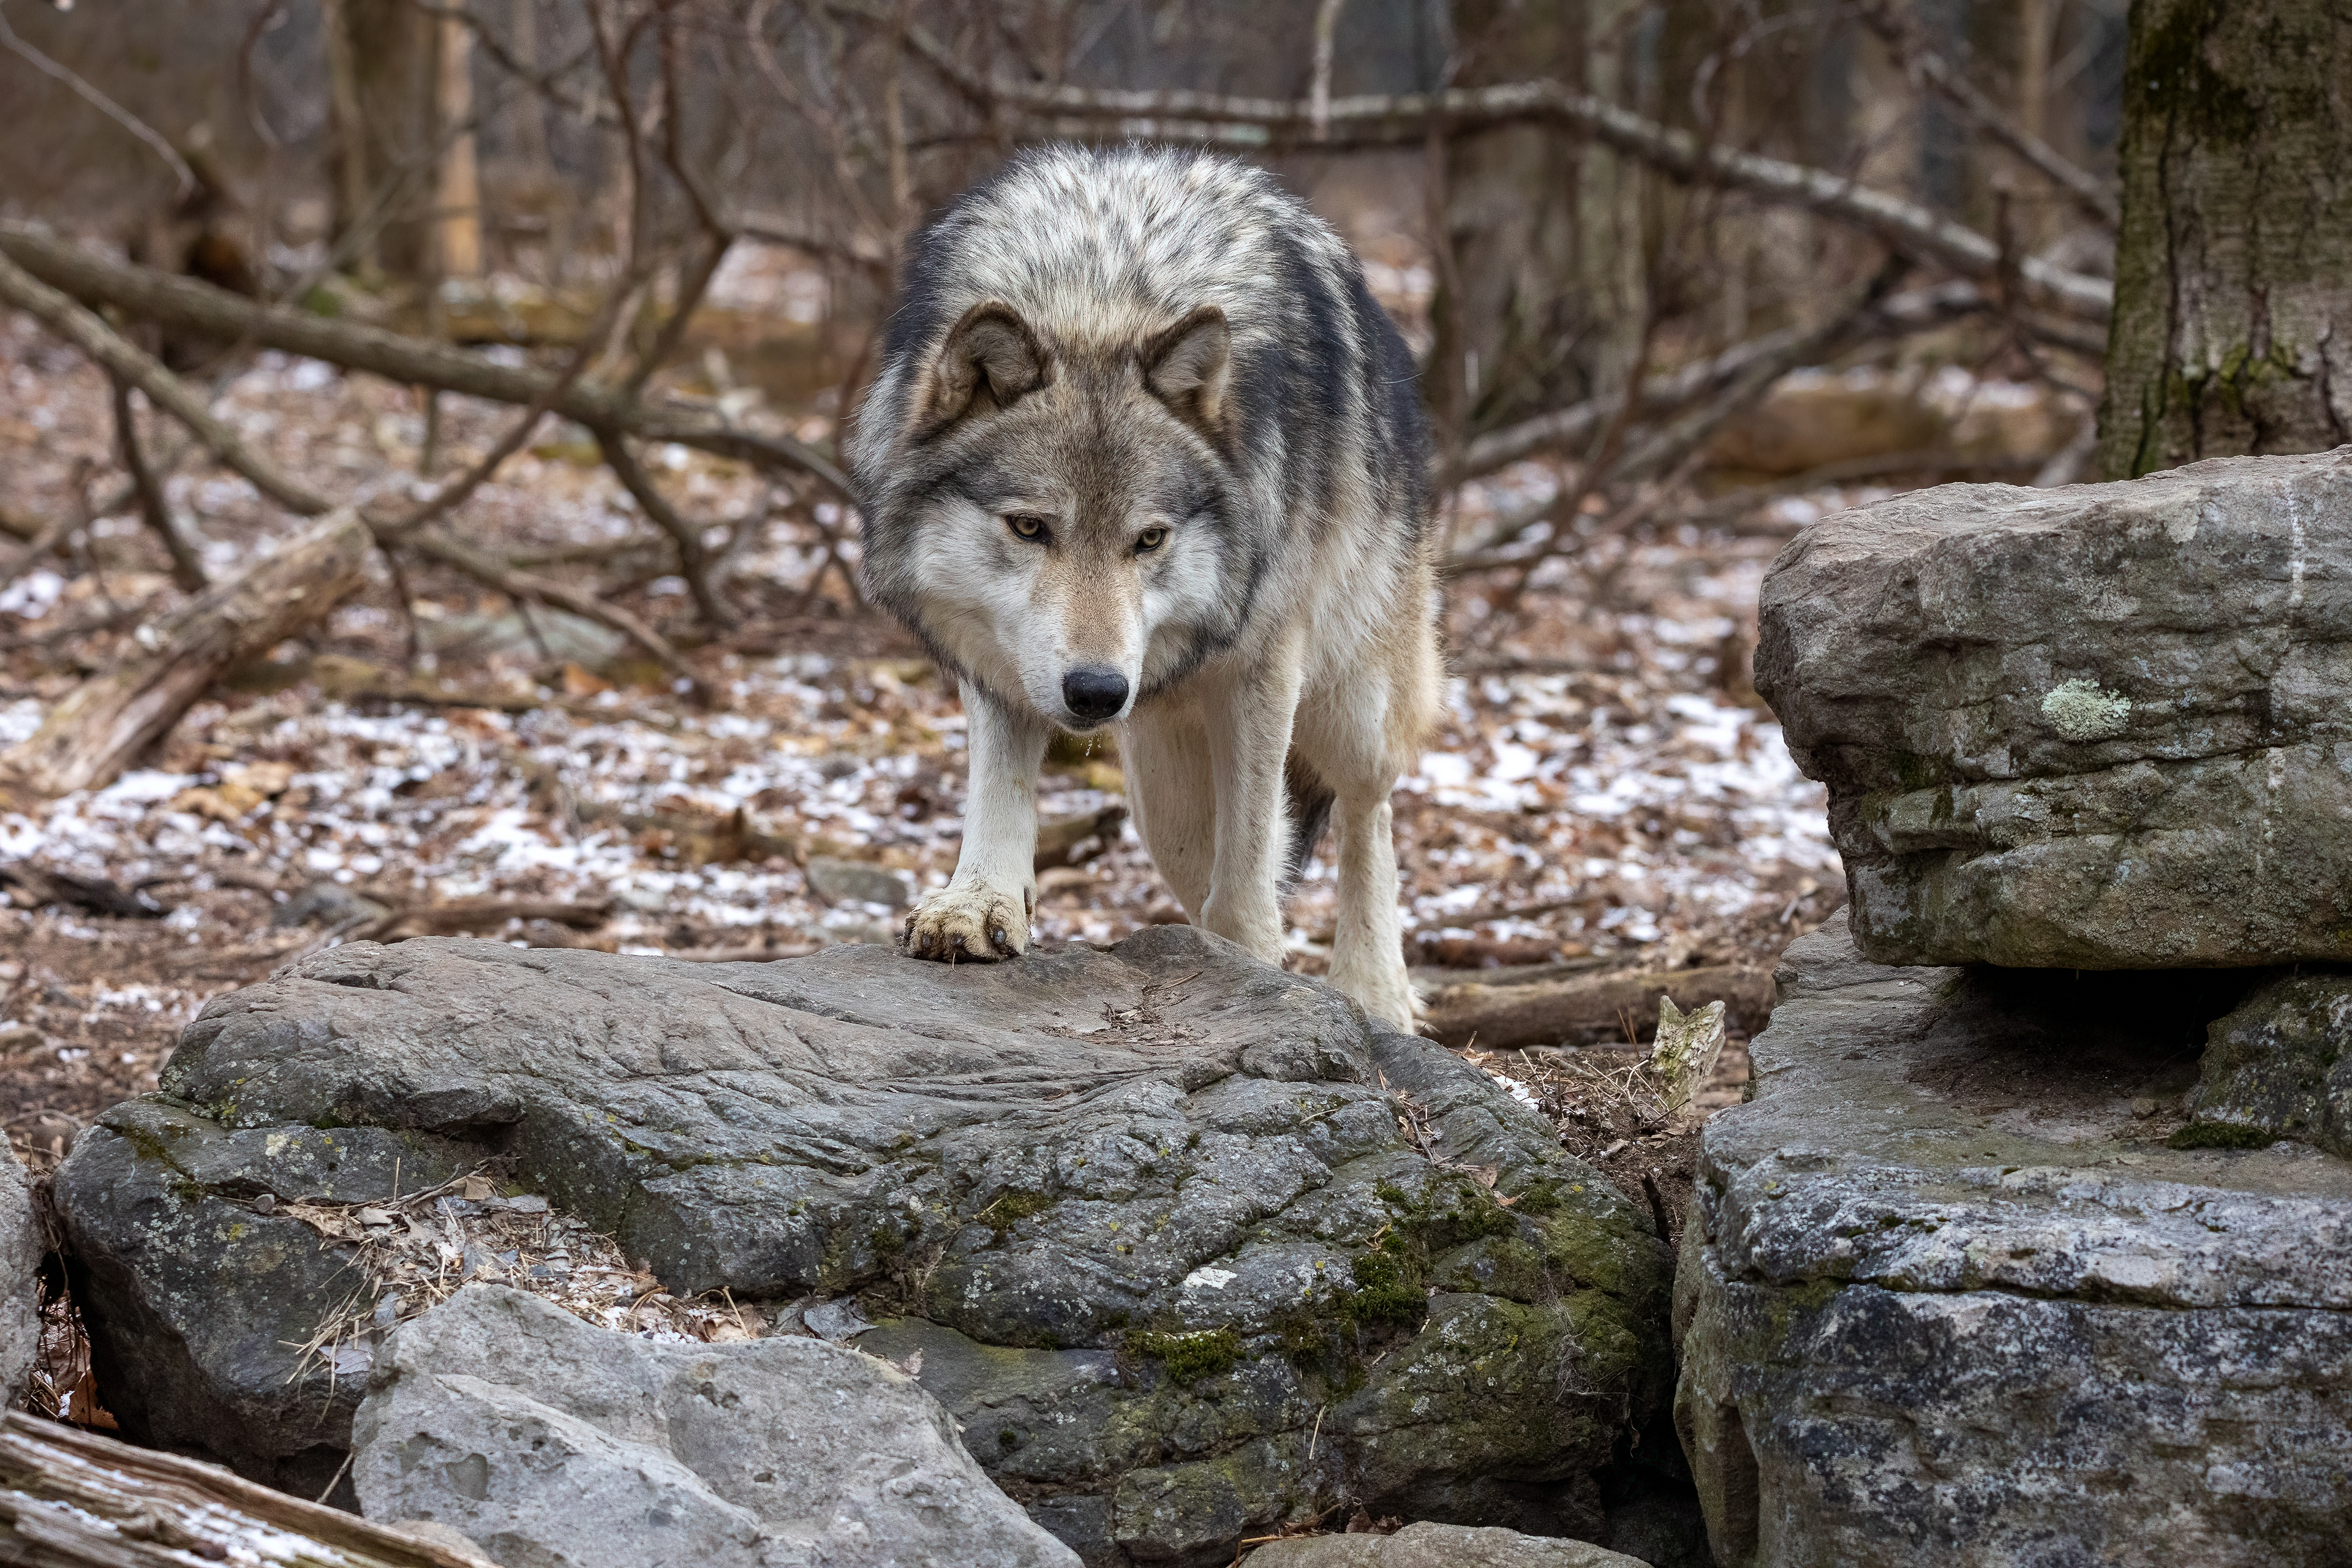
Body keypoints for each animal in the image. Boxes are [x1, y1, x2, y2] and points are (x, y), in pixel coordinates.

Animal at [847, 144, 1439, 1031]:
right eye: (1031, 528)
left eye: (1149, 539)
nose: (1097, 692)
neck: (1101, 295)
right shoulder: (1000, 655)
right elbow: (1000, 784)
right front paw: (980, 904)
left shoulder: (1265, 667)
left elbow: (1254, 867)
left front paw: (1249, 972)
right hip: (1161, 791)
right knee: (1205, 857)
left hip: (1348, 703)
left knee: (1368, 812)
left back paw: (1374, 994)